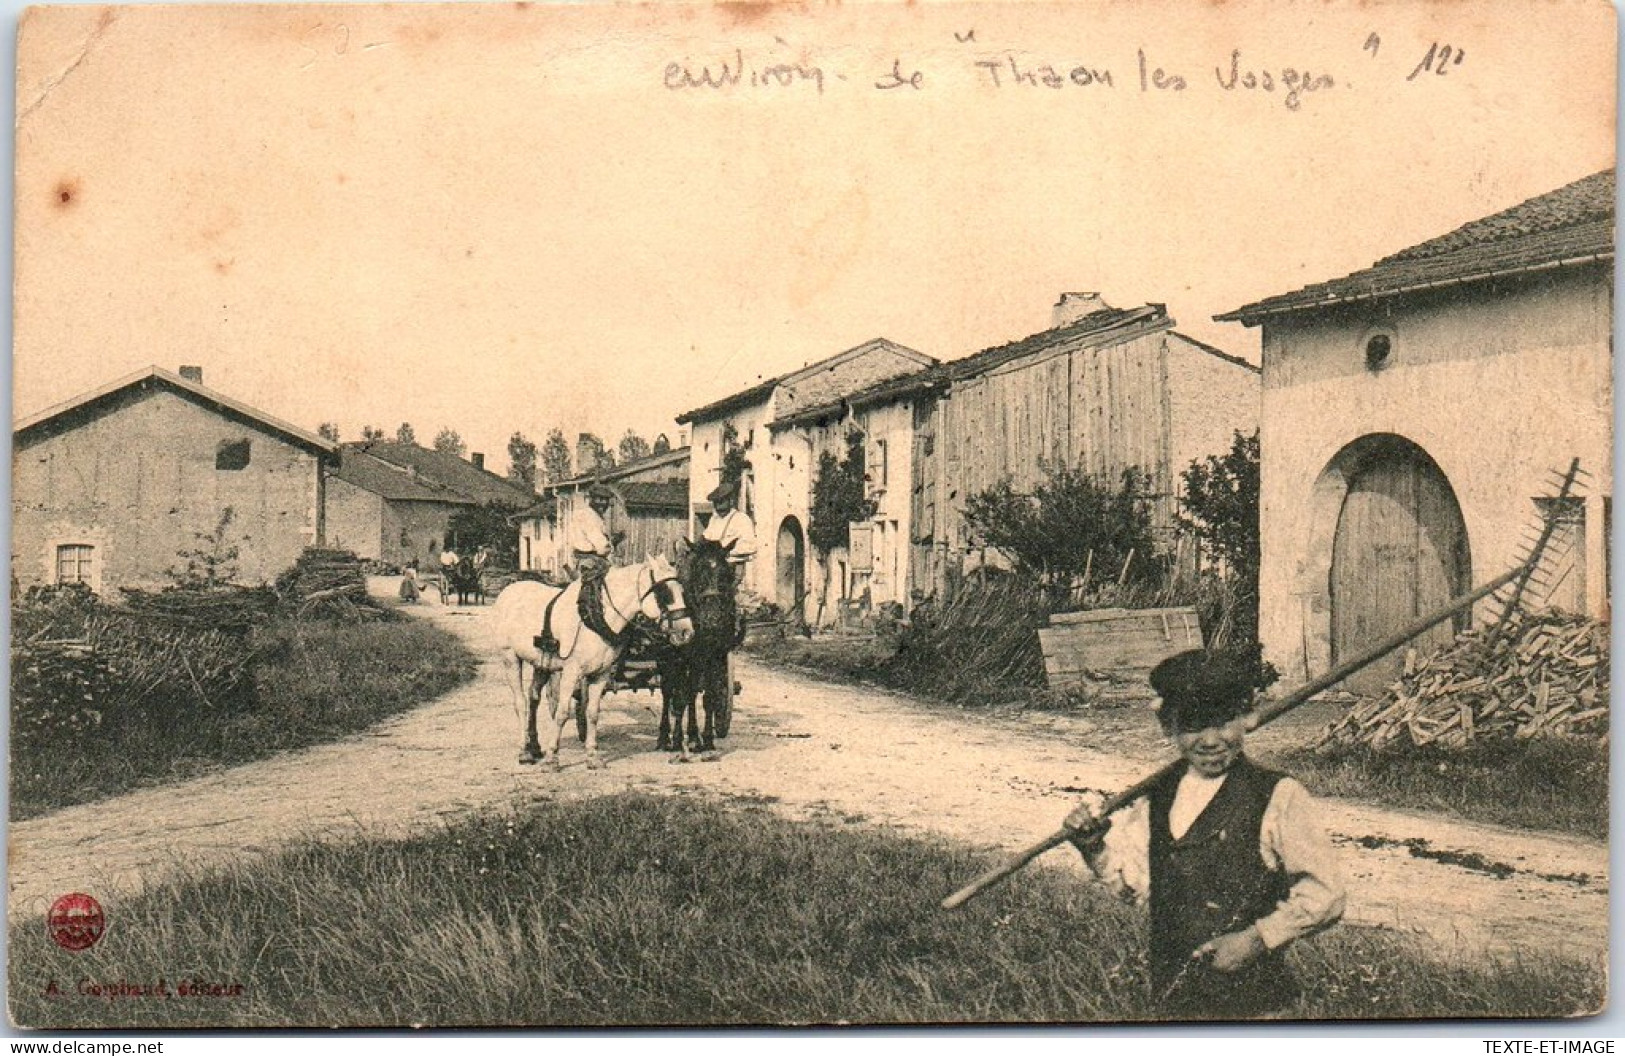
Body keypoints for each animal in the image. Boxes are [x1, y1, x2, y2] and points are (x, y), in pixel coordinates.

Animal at [487, 552, 692, 763]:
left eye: (682, 590)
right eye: (665, 592)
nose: (687, 632)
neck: (594, 615)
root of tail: (507, 591)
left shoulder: (601, 673)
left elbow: (593, 712)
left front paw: (592, 756)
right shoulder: (571, 672)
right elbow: (562, 713)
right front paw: (553, 757)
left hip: (542, 663)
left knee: (534, 697)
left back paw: (534, 747)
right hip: (510, 658)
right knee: (521, 703)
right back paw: (524, 751)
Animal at [653, 542, 744, 757]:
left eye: (725, 574)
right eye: (697, 573)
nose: (712, 618)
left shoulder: (715, 656)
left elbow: (708, 696)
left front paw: (706, 739)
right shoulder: (681, 658)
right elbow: (679, 697)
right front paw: (677, 740)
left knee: (692, 692)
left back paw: (694, 736)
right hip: (667, 658)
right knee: (669, 691)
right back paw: (664, 737)